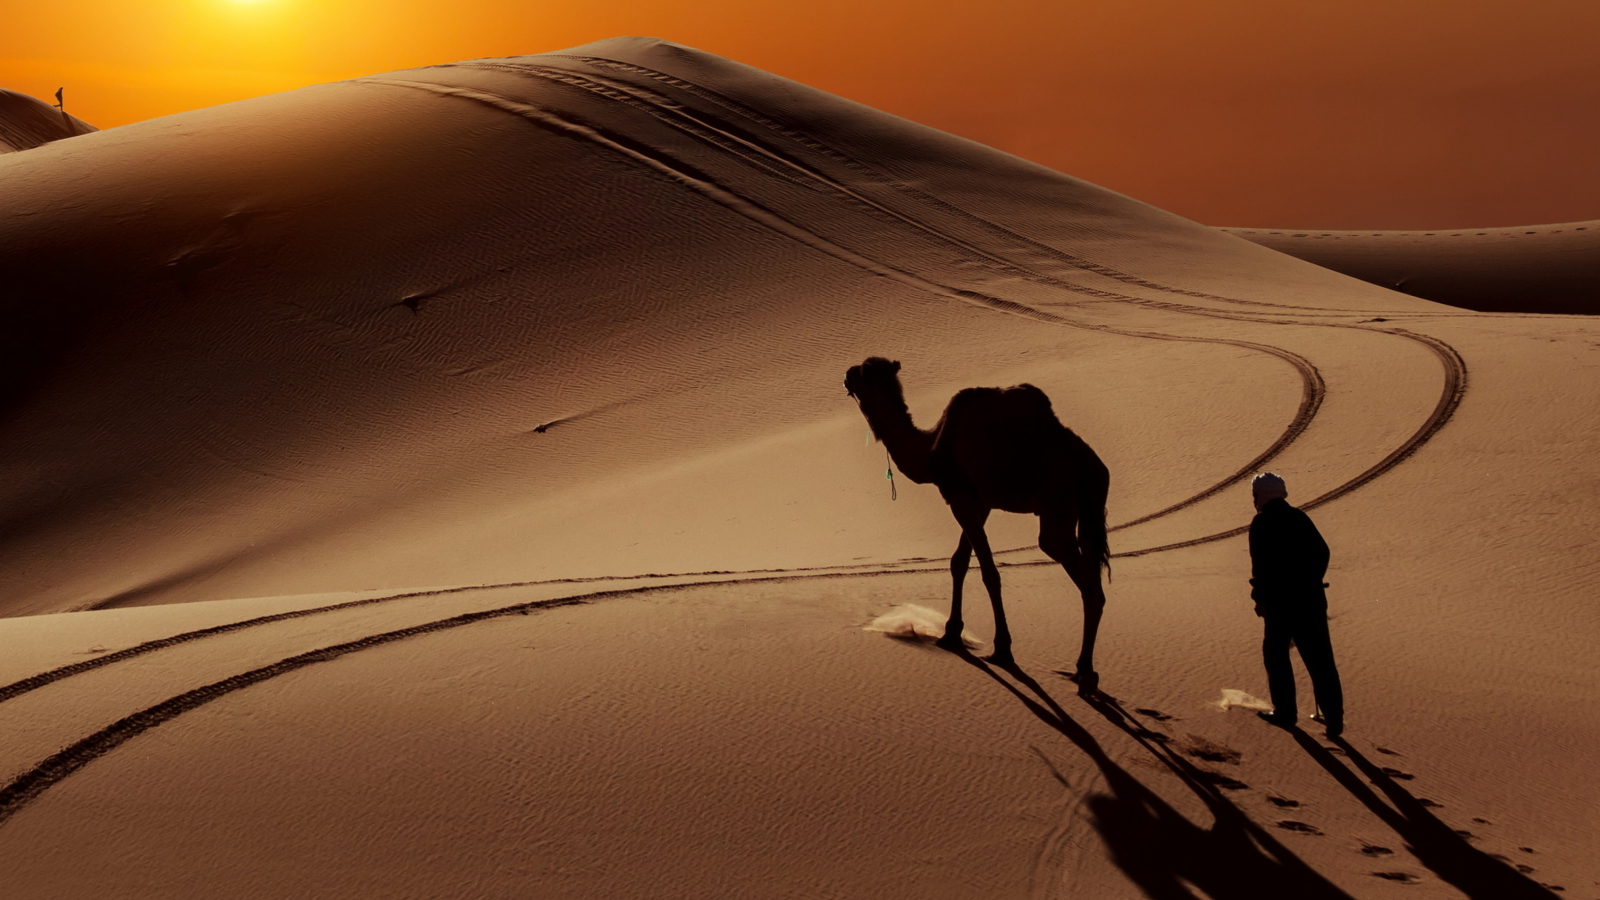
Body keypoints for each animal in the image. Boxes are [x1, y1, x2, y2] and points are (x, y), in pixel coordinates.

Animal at [844, 353, 1107, 688]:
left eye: (864, 371)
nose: (846, 374)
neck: (931, 449)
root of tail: (1091, 465)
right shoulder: (979, 501)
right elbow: (959, 562)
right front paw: (951, 633)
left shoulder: (959, 494)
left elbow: (988, 572)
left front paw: (1002, 649)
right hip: (1088, 513)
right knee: (1093, 569)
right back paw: (1086, 671)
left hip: (1057, 505)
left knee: (1083, 579)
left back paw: (1084, 670)